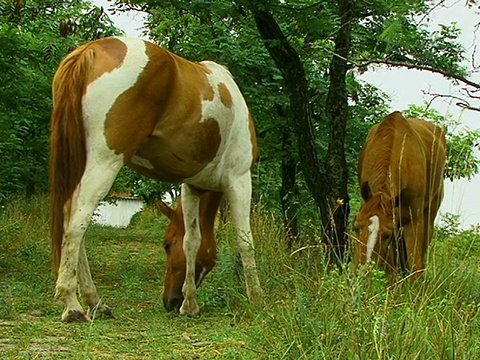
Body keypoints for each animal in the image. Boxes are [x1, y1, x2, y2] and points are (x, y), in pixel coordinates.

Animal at [51, 37, 262, 320]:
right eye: (165, 245)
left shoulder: (192, 186)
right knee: (77, 221)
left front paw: (190, 304)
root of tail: (91, 50)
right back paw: (72, 303)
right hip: (104, 162)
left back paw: (95, 302)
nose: (170, 301)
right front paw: (256, 297)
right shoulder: (239, 180)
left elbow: (193, 240)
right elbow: (245, 240)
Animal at [352, 112, 446, 278]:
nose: (364, 270)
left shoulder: (413, 220)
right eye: (355, 227)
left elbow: (415, 266)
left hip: (428, 217)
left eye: (387, 235)